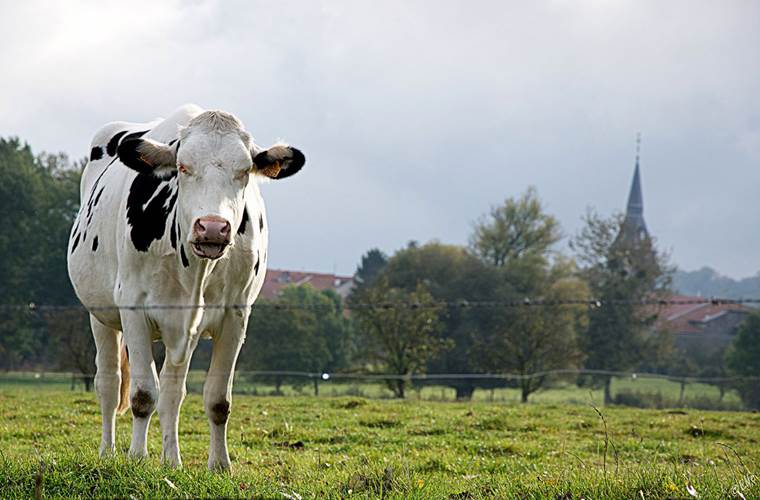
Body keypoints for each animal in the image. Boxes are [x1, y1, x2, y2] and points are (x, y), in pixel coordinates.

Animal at [66, 104, 305, 469]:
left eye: (244, 171)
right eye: (182, 167)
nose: (213, 227)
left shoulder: (235, 316)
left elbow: (215, 400)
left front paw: (218, 466)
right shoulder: (133, 308)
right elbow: (142, 394)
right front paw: (137, 458)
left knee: (171, 391)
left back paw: (171, 460)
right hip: (102, 315)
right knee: (109, 382)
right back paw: (109, 450)